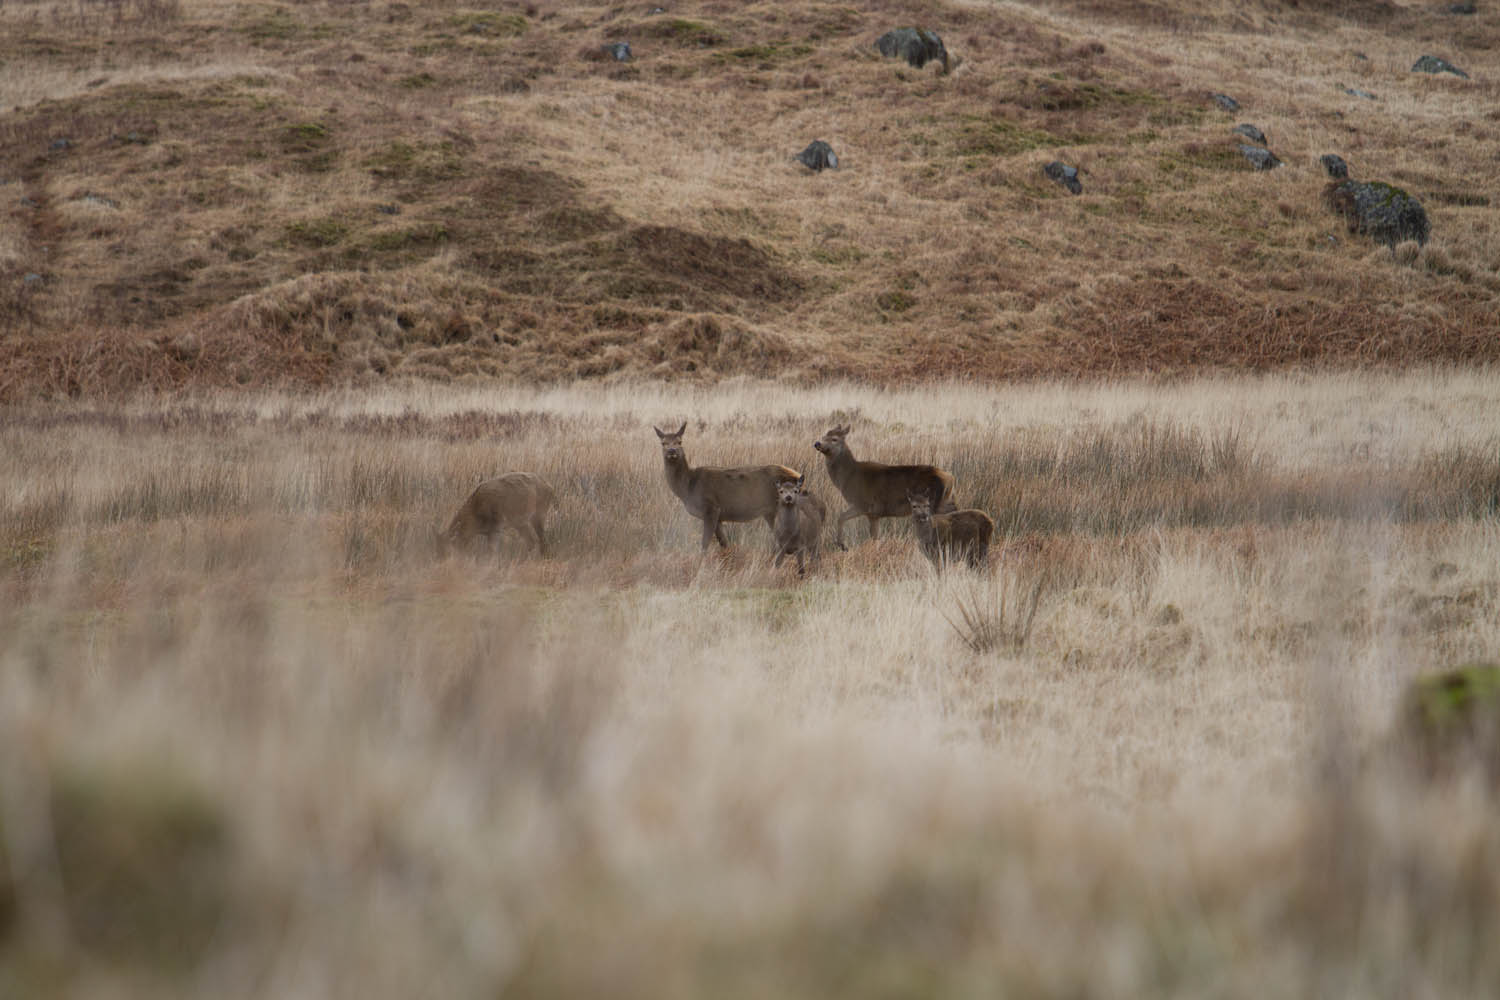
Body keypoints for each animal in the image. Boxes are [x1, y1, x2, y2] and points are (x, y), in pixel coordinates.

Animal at [651, 419, 804, 551]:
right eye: (663, 443)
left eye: (679, 441)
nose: (671, 451)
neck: (688, 487)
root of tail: (797, 476)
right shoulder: (719, 515)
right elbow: (724, 542)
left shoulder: (711, 507)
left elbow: (705, 543)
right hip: (771, 511)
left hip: (778, 507)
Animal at [816, 422, 954, 548]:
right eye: (824, 435)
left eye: (834, 439)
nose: (817, 443)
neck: (848, 478)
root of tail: (950, 478)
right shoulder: (875, 514)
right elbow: (874, 537)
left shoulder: (865, 505)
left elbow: (841, 517)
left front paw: (842, 544)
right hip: (943, 502)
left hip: (933, 503)